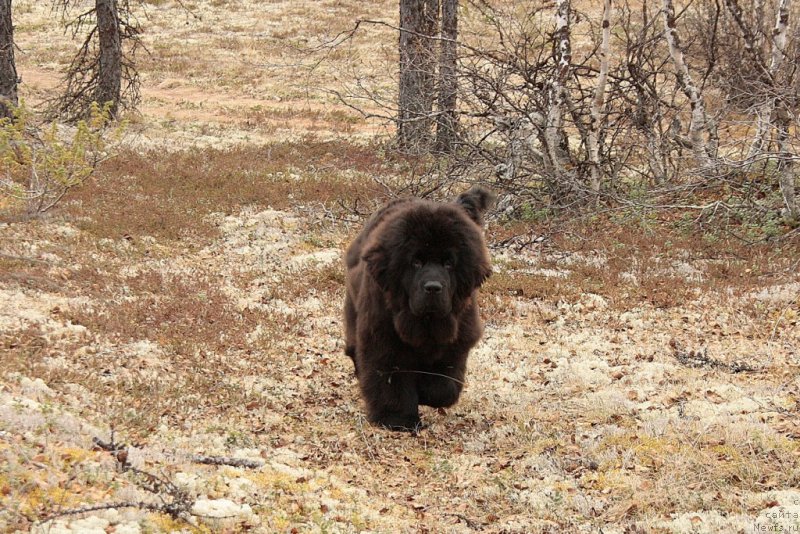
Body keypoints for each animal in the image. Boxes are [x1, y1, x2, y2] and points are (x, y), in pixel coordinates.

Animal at [344, 187, 494, 432]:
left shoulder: (457, 342)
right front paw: (397, 420)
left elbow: (443, 388)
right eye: (416, 262)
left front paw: (424, 393)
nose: (433, 287)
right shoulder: (383, 340)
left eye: (448, 263)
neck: (425, 323)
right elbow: (390, 381)